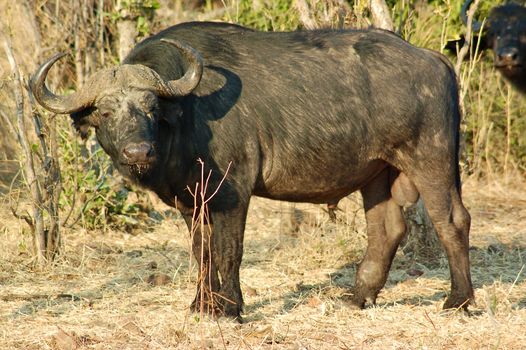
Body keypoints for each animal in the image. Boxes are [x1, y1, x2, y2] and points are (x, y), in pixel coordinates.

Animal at [29, 21, 474, 320]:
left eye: (151, 107)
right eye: (105, 112)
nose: (138, 150)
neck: (187, 116)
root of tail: (433, 58)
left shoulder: (232, 193)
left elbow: (229, 250)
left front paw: (229, 307)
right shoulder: (191, 201)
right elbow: (202, 251)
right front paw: (202, 305)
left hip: (431, 158)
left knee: (452, 220)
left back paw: (459, 300)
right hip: (377, 174)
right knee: (387, 229)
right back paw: (358, 296)